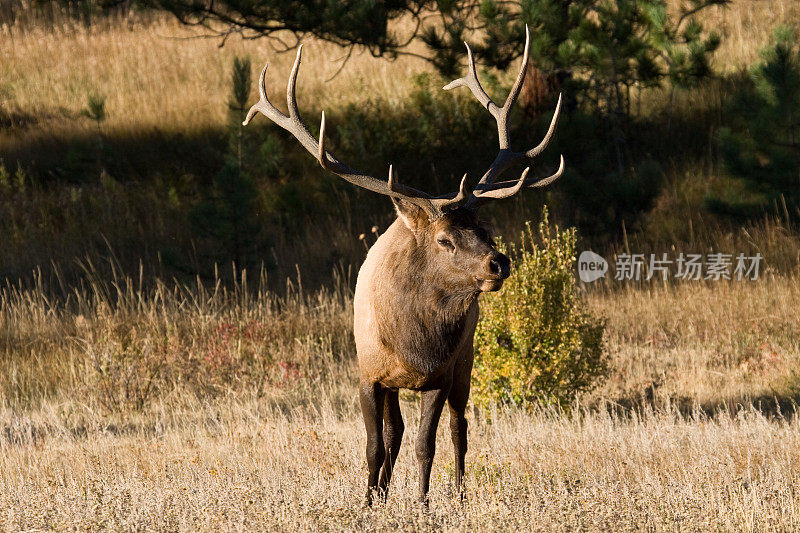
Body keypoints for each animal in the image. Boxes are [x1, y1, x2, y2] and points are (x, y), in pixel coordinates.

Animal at [244, 27, 564, 504]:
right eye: (445, 239)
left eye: (485, 227)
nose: (499, 263)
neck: (412, 343)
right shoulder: (369, 373)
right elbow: (377, 445)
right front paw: (369, 501)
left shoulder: (439, 375)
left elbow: (425, 445)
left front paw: (424, 503)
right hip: (399, 382)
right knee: (394, 432)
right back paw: (382, 492)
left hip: (465, 362)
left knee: (459, 428)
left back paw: (460, 494)